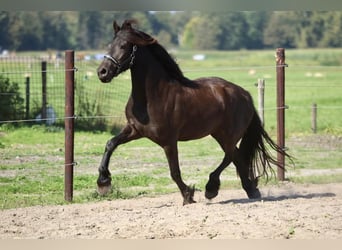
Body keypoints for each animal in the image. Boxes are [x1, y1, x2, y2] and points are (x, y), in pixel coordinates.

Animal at [96, 19, 288, 203]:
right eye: (109, 45)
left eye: (124, 45)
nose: (102, 72)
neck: (153, 96)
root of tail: (245, 94)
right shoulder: (135, 130)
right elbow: (110, 144)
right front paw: (103, 182)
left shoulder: (168, 141)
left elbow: (174, 171)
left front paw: (188, 195)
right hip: (220, 134)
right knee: (236, 157)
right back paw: (250, 190)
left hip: (229, 135)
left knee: (230, 155)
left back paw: (212, 188)